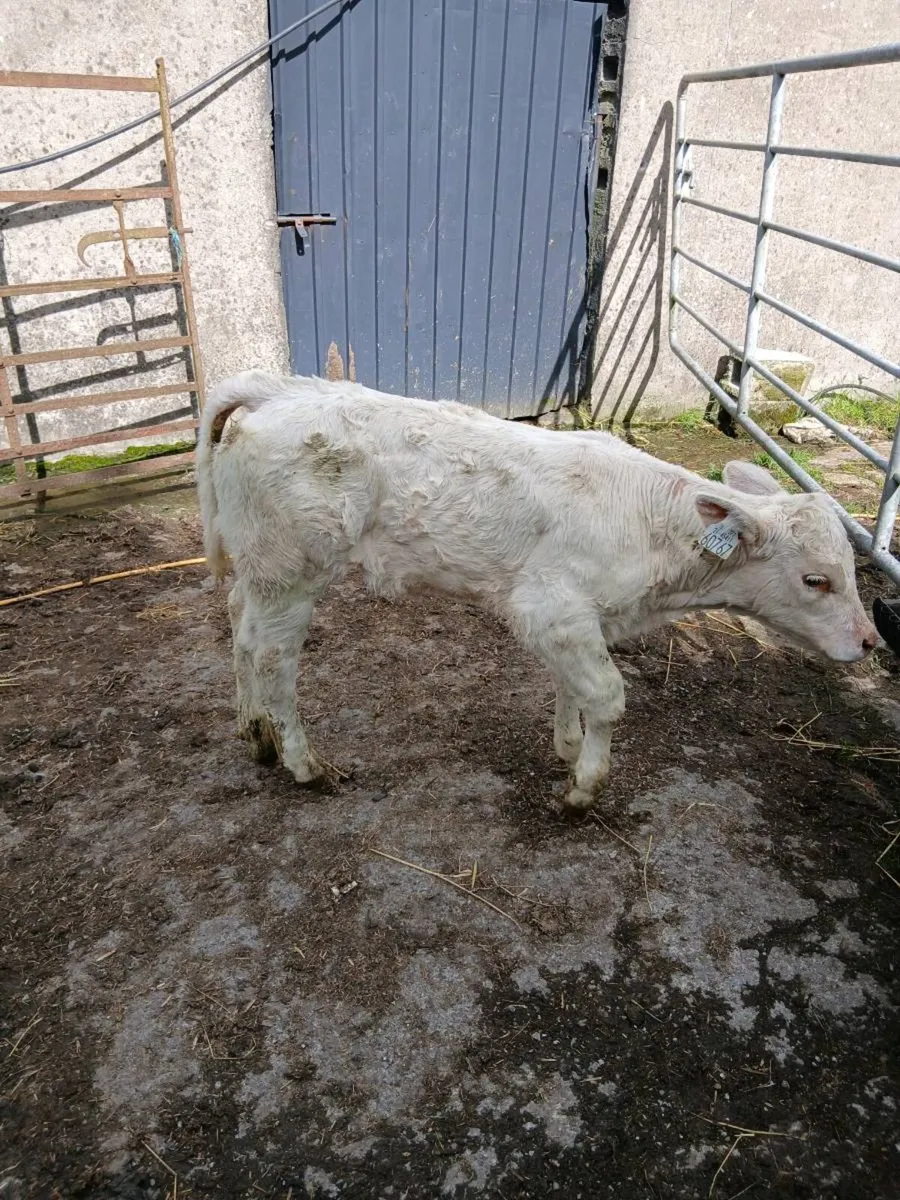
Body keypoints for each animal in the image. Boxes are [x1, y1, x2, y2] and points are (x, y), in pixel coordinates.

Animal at [197, 371, 878, 812]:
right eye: (817, 579)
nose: (871, 641)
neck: (649, 527)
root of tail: (279, 388)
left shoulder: (580, 619)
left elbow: (571, 684)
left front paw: (567, 744)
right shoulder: (549, 607)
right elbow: (607, 696)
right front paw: (584, 786)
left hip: (262, 565)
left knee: (239, 624)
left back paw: (253, 731)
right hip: (293, 567)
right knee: (273, 656)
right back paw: (304, 763)